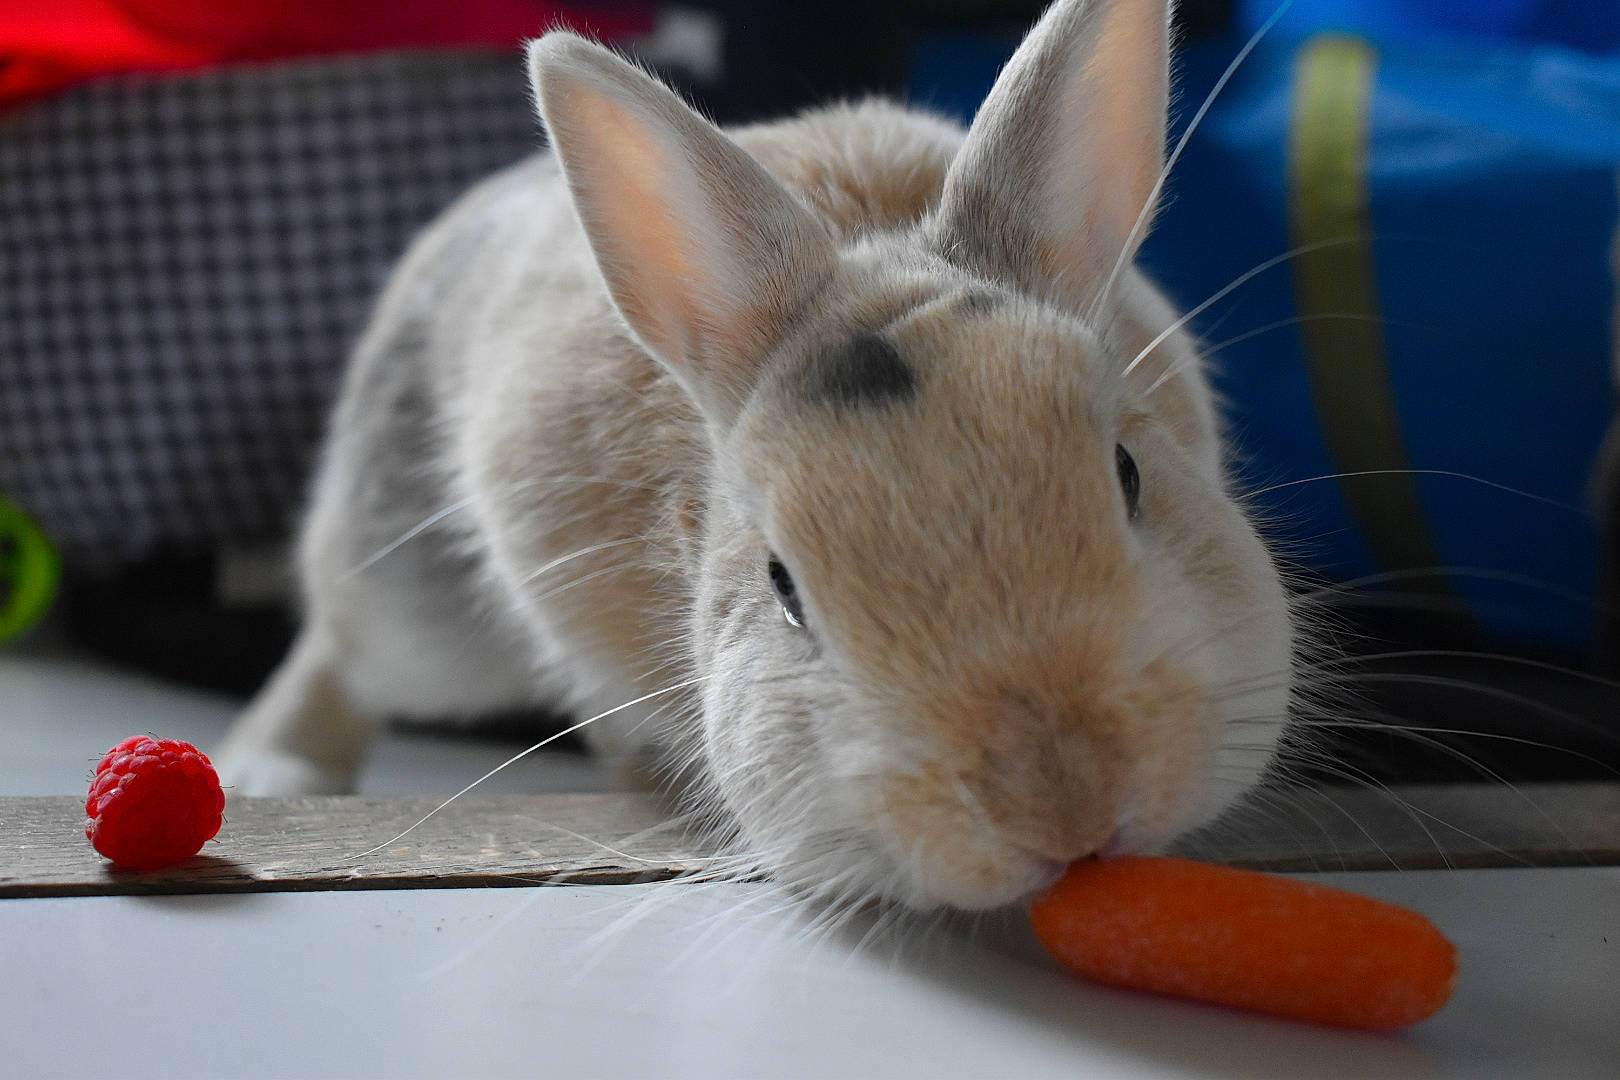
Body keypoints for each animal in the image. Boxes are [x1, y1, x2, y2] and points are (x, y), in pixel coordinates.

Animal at [215, 0, 1294, 912]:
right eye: (784, 588)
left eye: (1129, 473)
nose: (1066, 806)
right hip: (417, 601)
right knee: (340, 644)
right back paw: (268, 770)